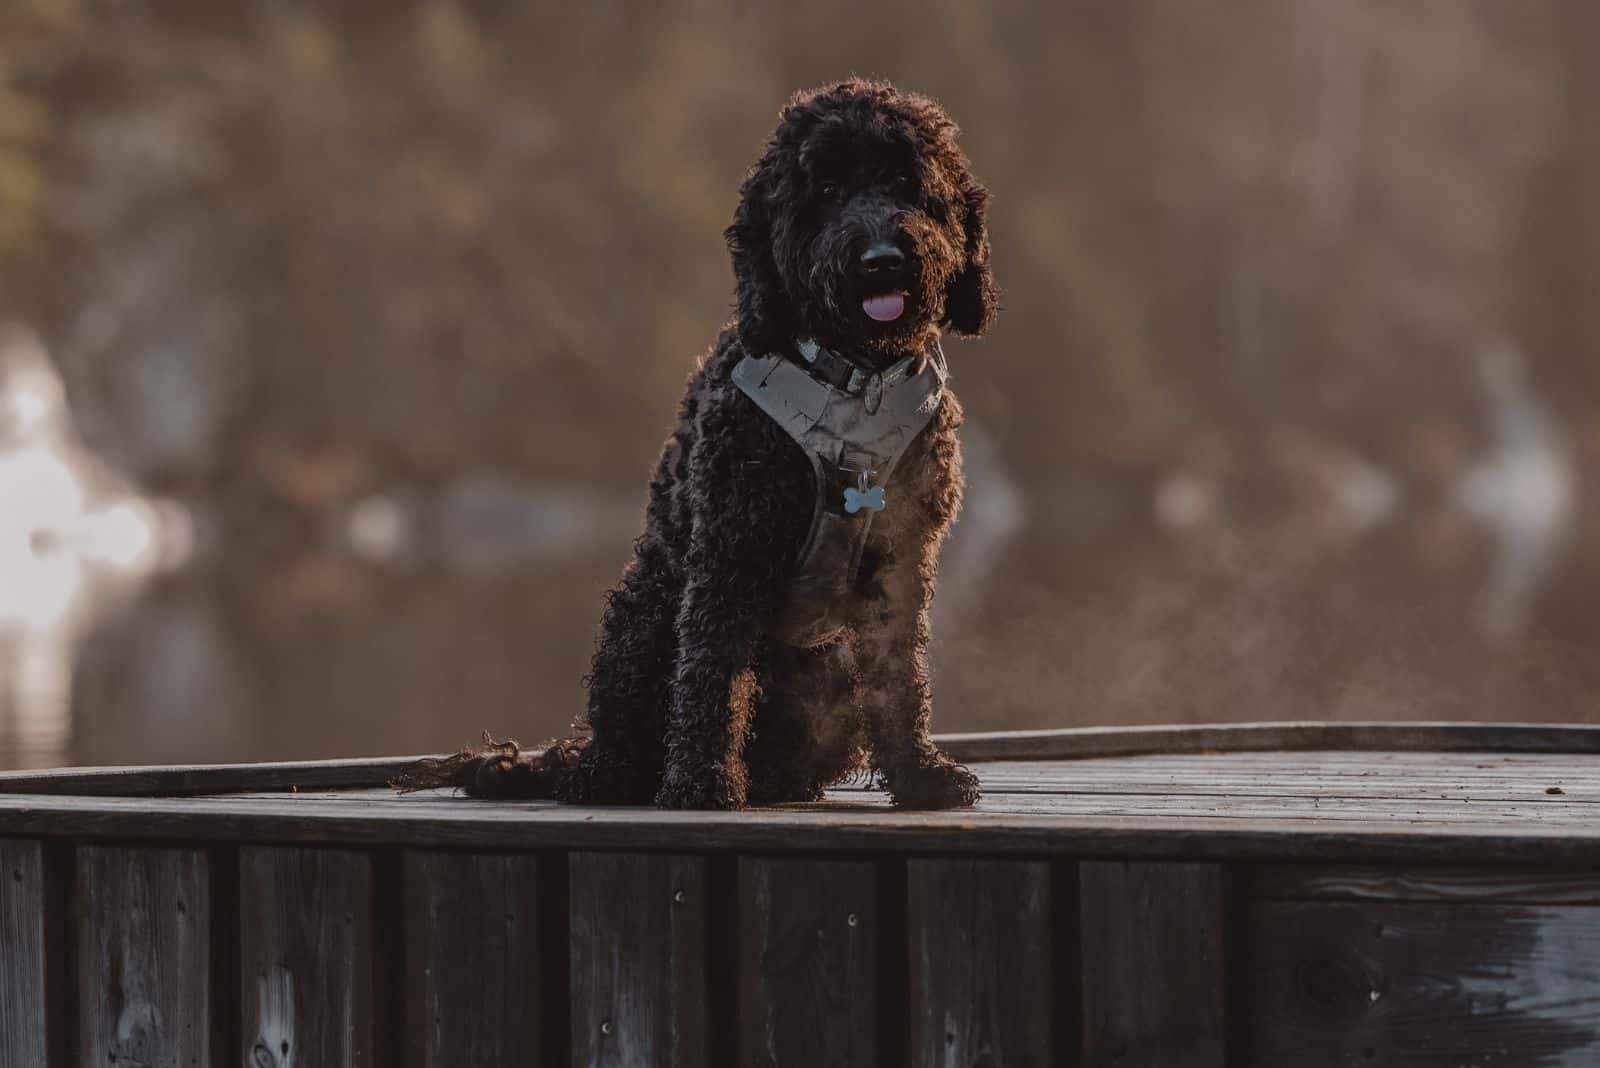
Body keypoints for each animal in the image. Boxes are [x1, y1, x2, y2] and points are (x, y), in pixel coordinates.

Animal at [403, 79, 985, 805]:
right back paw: (607, 774)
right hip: (644, 611)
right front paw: (703, 781)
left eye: (908, 184)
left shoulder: (902, 558)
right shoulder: (730, 546)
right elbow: (711, 675)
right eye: (824, 190)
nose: (882, 262)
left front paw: (919, 773)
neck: (855, 378)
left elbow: (900, 677)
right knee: (626, 739)